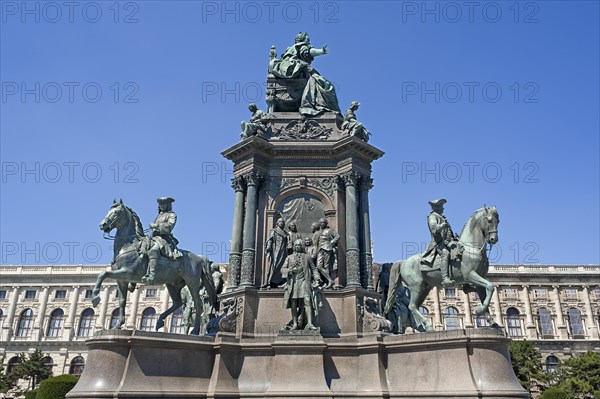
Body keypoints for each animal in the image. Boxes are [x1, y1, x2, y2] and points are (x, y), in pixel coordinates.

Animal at [92, 199, 217, 334]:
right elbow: (121, 301)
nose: (103, 225)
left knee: (197, 303)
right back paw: (159, 321)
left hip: (191, 282)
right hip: (173, 284)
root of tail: (199, 257)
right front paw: (118, 325)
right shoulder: (121, 280)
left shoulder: (127, 272)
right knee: (177, 303)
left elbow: (102, 274)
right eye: (109, 210)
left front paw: (95, 297)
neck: (128, 246)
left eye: (116, 212)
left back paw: (194, 331)